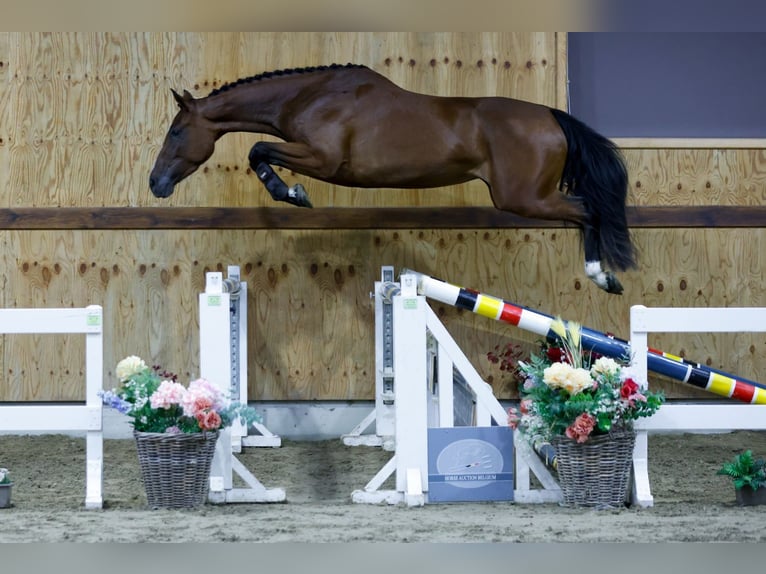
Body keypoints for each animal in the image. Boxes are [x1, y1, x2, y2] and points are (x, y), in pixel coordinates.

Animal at [148, 64, 636, 296]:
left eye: (176, 132)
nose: (156, 184)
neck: (310, 96)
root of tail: (552, 117)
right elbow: (259, 151)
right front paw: (290, 191)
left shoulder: (323, 159)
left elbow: (258, 151)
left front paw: (292, 193)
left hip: (524, 198)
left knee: (588, 212)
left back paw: (602, 277)